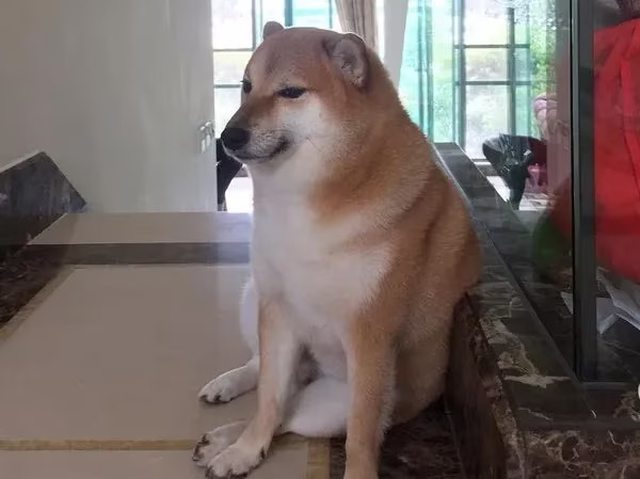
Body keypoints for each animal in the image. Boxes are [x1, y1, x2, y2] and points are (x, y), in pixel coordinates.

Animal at [193, 21, 481, 479]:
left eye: (291, 92)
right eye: (246, 86)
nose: (228, 136)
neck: (307, 203)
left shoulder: (369, 335)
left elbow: (359, 435)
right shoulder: (277, 310)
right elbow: (268, 398)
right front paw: (245, 450)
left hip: (332, 407)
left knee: (291, 414)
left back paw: (224, 437)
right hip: (254, 295)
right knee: (268, 387)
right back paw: (229, 413)